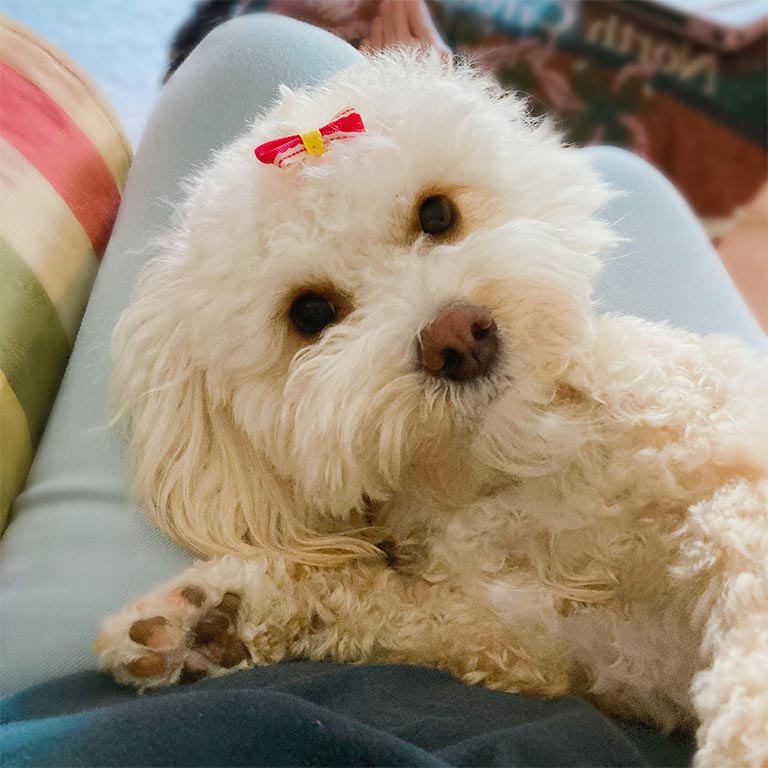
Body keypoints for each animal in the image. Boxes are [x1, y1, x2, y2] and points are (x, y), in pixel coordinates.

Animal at [97, 51, 768, 764]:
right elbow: (383, 602)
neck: (515, 465)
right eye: (310, 312)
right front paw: (210, 618)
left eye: (437, 214)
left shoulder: (730, 471)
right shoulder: (548, 640)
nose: (459, 337)